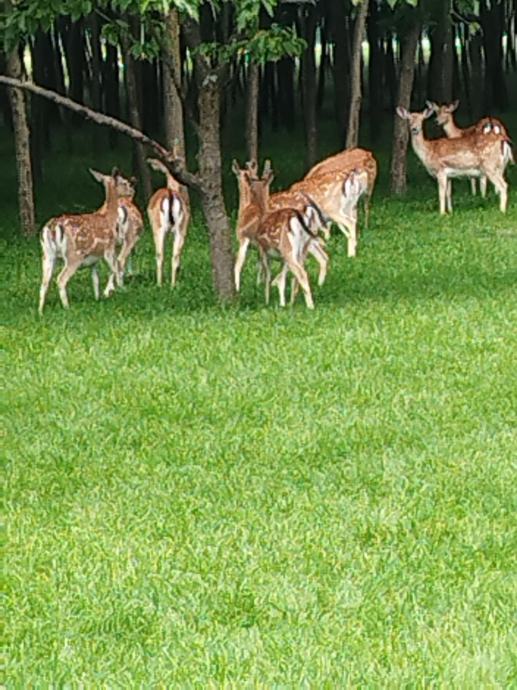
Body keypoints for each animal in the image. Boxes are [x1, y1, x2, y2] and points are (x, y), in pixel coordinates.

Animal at [38, 168, 135, 315]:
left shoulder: (93, 260)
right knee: (61, 279)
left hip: (47, 255)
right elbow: (114, 269)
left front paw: (97, 298)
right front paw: (114, 291)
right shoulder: (108, 248)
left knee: (44, 282)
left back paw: (40, 312)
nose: (132, 190)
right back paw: (67, 307)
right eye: (124, 182)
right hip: (73, 256)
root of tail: (52, 228)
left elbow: (95, 279)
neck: (109, 219)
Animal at [147, 158, 190, 287]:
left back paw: (159, 284)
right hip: (181, 229)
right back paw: (173, 285)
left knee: (160, 255)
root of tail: (170, 193)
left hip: (159, 228)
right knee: (175, 256)